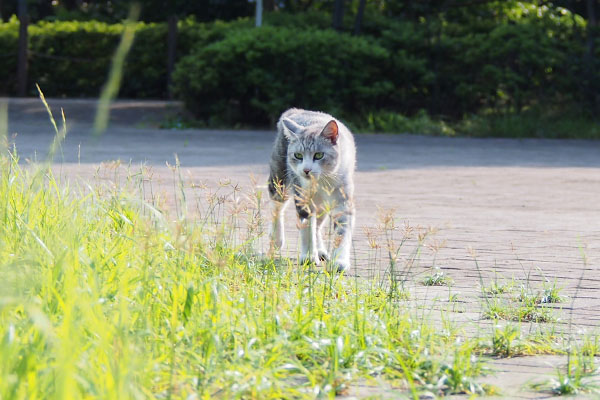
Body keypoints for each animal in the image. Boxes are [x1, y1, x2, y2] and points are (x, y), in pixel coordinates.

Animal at [268, 108, 356, 274]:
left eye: (319, 155)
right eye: (298, 155)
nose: (306, 170)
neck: (321, 182)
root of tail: (296, 110)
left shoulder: (343, 201)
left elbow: (341, 232)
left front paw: (339, 262)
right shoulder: (303, 198)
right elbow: (307, 228)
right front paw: (309, 256)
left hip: (323, 205)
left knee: (318, 225)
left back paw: (320, 251)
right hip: (279, 180)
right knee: (277, 208)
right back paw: (276, 239)